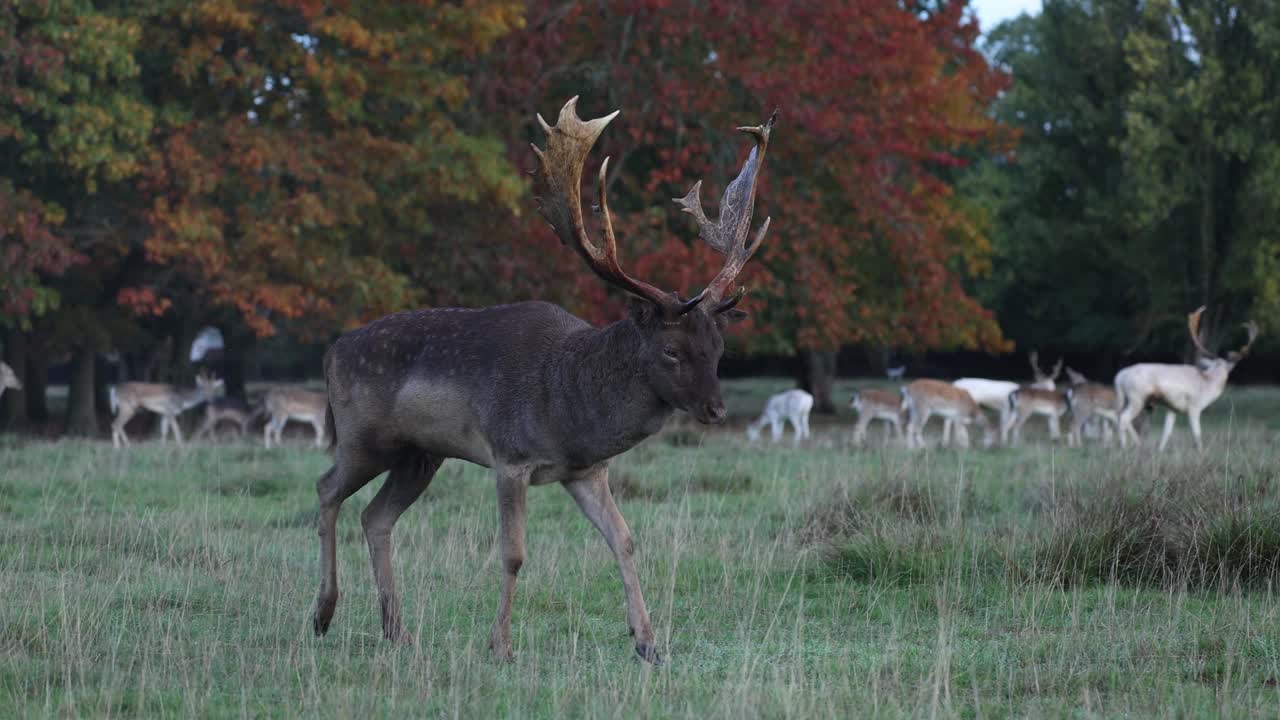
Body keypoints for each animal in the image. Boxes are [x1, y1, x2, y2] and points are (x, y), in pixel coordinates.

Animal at [311, 96, 773, 661]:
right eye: (671, 350)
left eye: (719, 348)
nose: (716, 410)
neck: (568, 406)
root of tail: (332, 352)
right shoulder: (511, 457)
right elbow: (513, 553)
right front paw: (501, 645)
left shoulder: (586, 470)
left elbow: (625, 539)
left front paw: (647, 642)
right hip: (363, 437)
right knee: (326, 490)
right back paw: (323, 613)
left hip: (420, 455)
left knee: (375, 517)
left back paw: (397, 629)